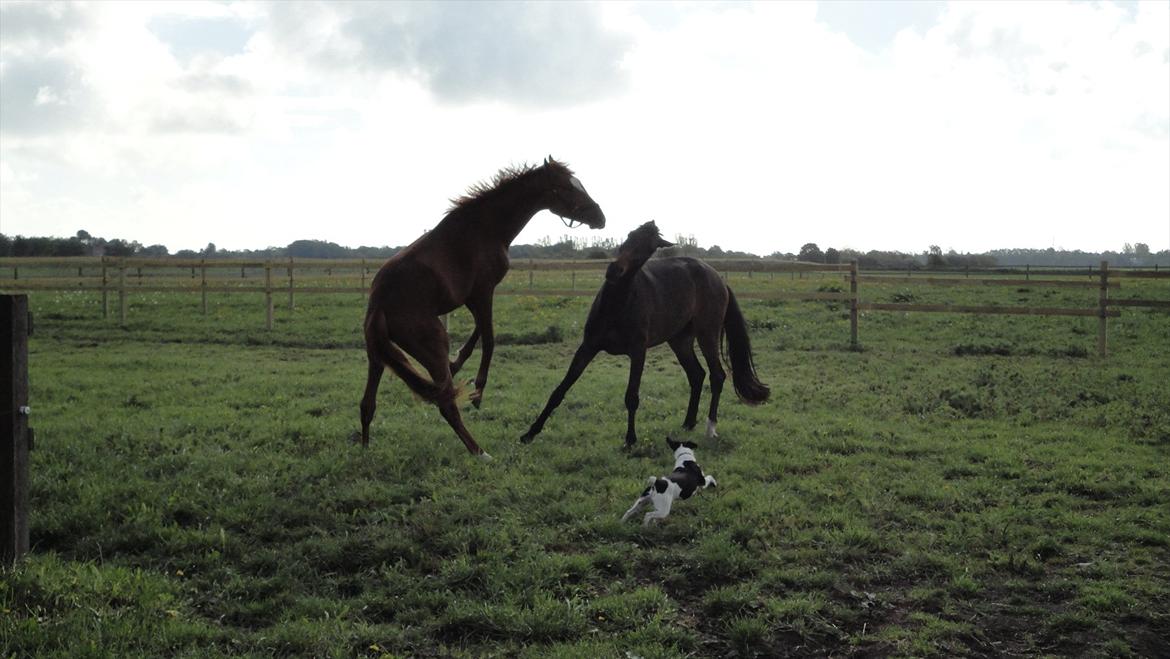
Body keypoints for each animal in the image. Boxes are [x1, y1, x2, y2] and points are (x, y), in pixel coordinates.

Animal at [360, 159, 608, 458]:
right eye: (565, 188)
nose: (600, 217)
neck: (484, 227)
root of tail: (379, 304)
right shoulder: (483, 292)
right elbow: (489, 339)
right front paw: (478, 391)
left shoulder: (475, 298)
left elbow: (478, 333)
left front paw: (457, 363)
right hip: (432, 345)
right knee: (446, 402)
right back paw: (481, 452)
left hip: (378, 357)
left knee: (367, 405)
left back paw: (364, 450)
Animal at [521, 221, 767, 449]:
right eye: (629, 236)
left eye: (649, 247)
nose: (614, 271)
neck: (616, 304)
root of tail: (719, 278)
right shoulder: (588, 346)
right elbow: (559, 390)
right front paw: (530, 433)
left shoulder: (638, 351)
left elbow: (632, 396)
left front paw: (630, 440)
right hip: (680, 341)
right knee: (697, 375)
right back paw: (688, 423)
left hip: (707, 334)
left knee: (717, 376)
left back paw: (710, 428)